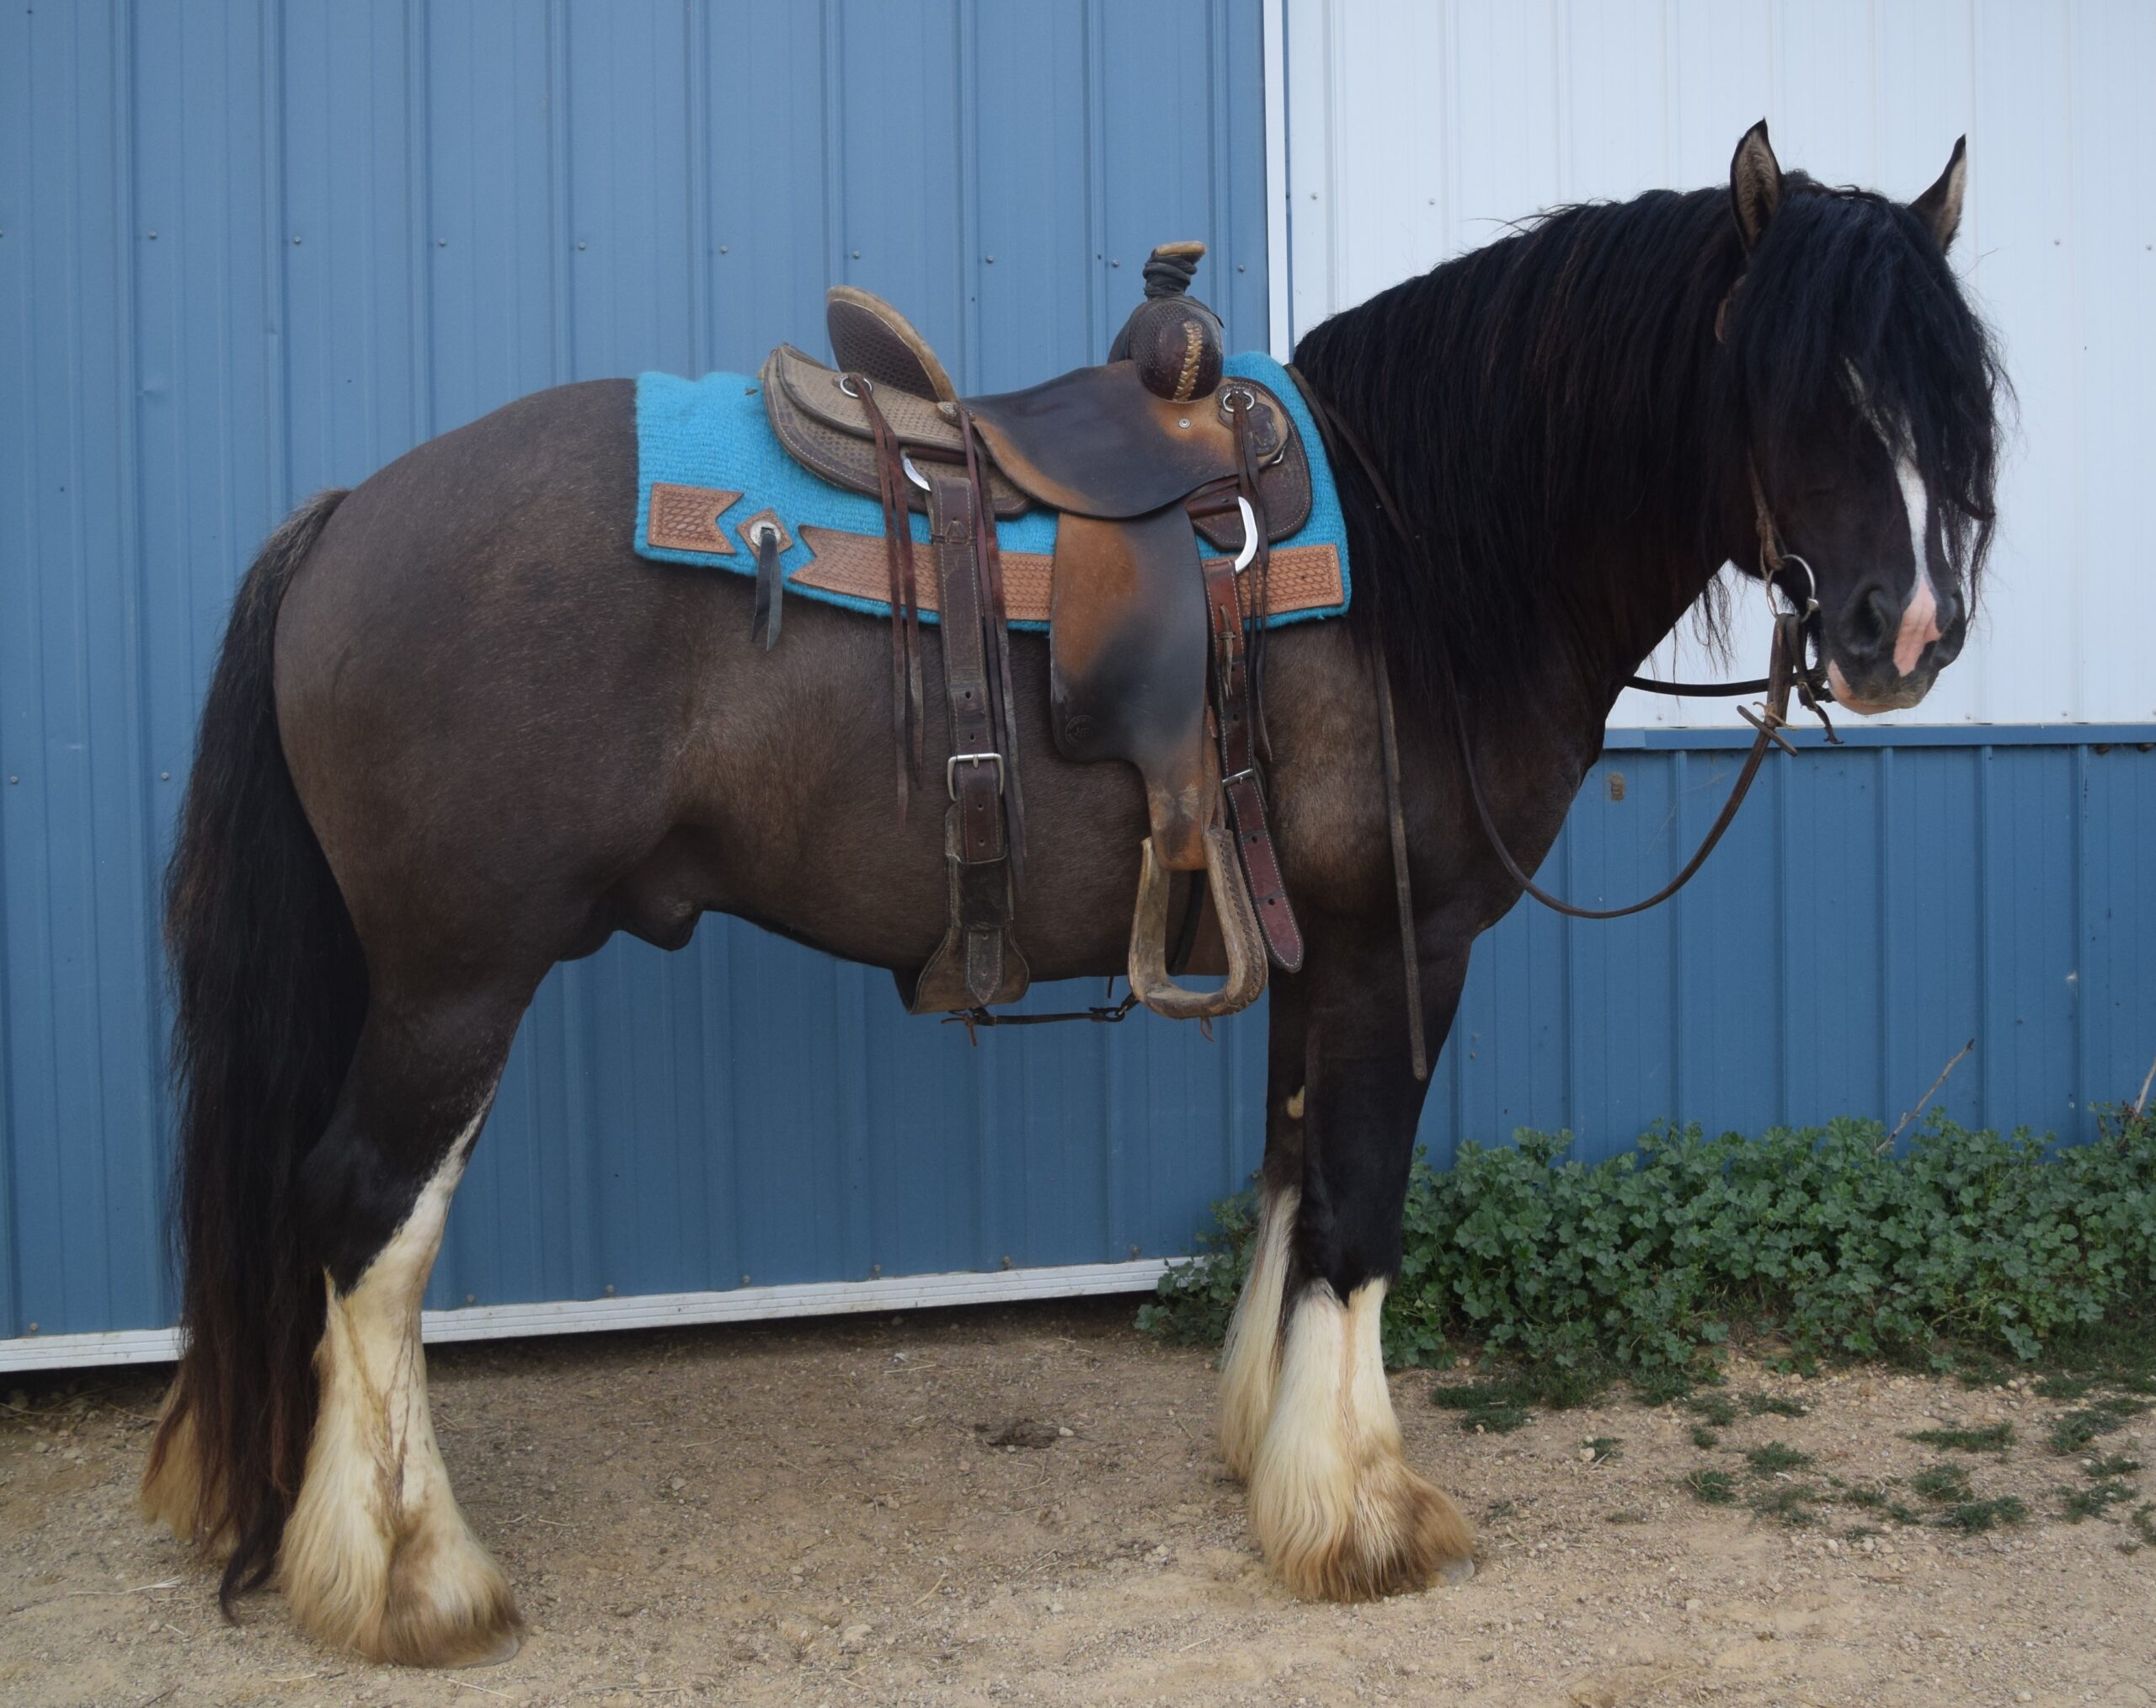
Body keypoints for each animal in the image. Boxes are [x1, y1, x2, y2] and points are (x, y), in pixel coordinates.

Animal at [141, 122, 2000, 1665]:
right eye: (1807, 386)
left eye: (1949, 395)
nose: (1904, 632)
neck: (1429, 556)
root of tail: (345, 521)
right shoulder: (1403, 947)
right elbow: (1359, 1207)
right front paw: (1365, 1515)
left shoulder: (1308, 947)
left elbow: (1287, 1171)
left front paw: (1268, 1453)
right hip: (460, 977)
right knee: (365, 1216)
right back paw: (407, 1578)